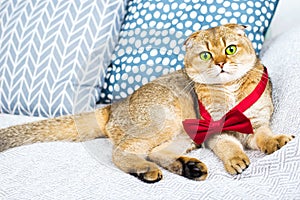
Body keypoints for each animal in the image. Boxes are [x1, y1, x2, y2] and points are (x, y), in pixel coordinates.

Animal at [0, 23, 294, 183]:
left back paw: (189, 167)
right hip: (165, 120)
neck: (229, 91)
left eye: (230, 49)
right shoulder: (214, 133)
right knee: (122, 151)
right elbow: (228, 145)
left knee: (157, 152)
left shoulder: (258, 121)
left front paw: (276, 141)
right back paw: (146, 170)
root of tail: (112, 106)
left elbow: (263, 135)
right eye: (206, 55)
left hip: (183, 134)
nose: (221, 63)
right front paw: (236, 159)